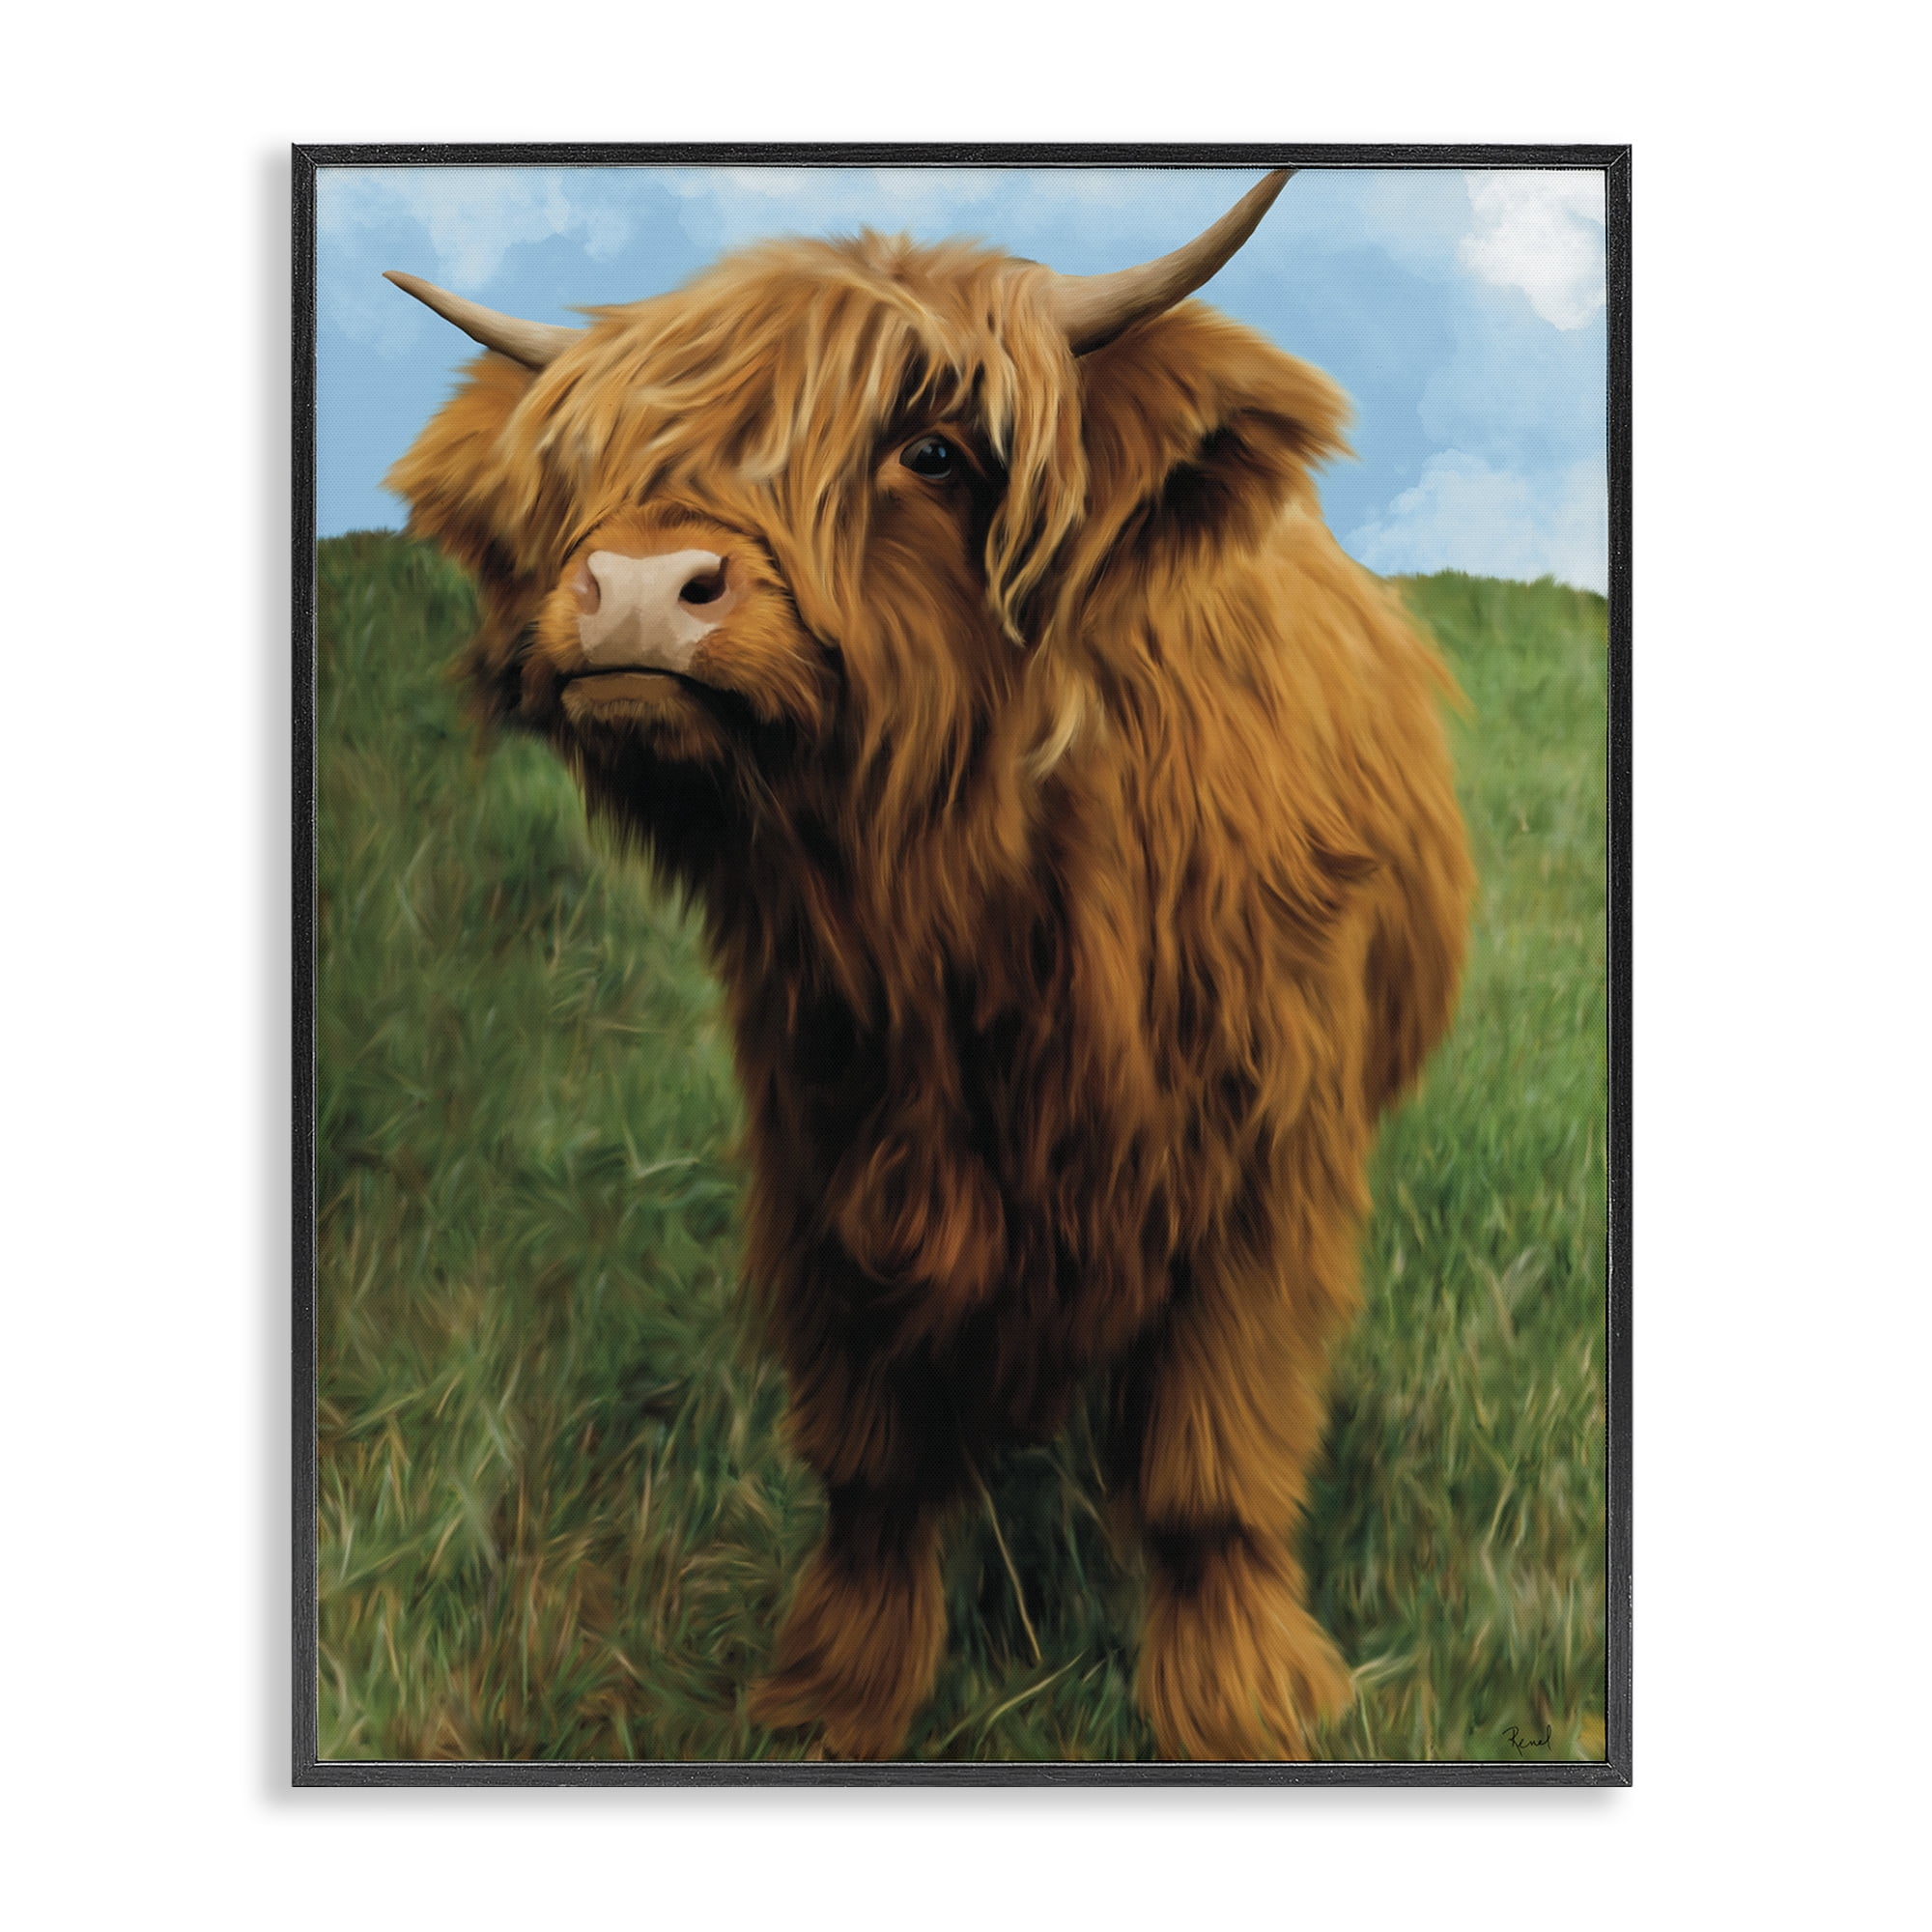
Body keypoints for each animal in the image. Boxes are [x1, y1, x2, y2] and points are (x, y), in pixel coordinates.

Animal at [384, 169, 1473, 1762]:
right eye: (590, 458)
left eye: (934, 450)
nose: (639, 588)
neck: (970, 920)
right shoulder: (826, 1143)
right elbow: (873, 1456)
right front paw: (834, 1694)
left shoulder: (1264, 1171)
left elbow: (1209, 1461)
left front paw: (1243, 1704)